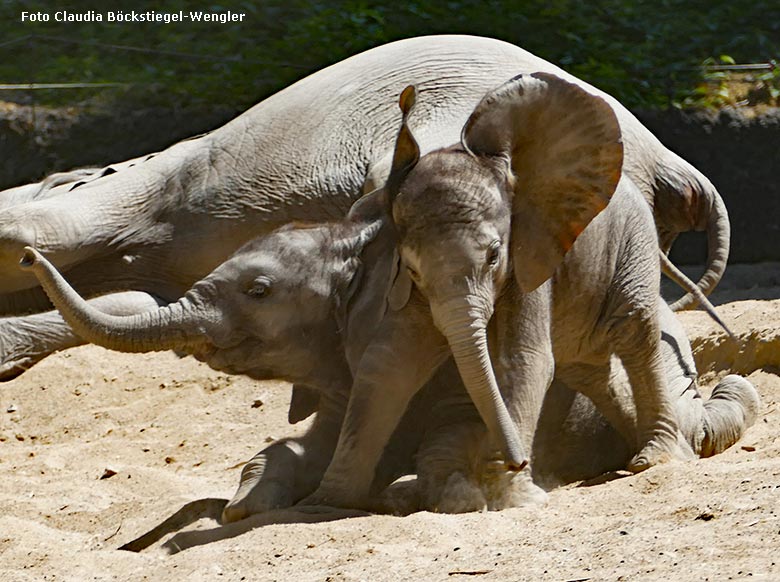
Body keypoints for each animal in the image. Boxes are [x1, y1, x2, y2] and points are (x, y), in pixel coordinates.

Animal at [21, 190, 756, 520]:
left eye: (258, 291)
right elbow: (296, 446)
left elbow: (448, 435)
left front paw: (423, 489)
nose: (27, 255)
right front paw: (243, 507)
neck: (360, 241)